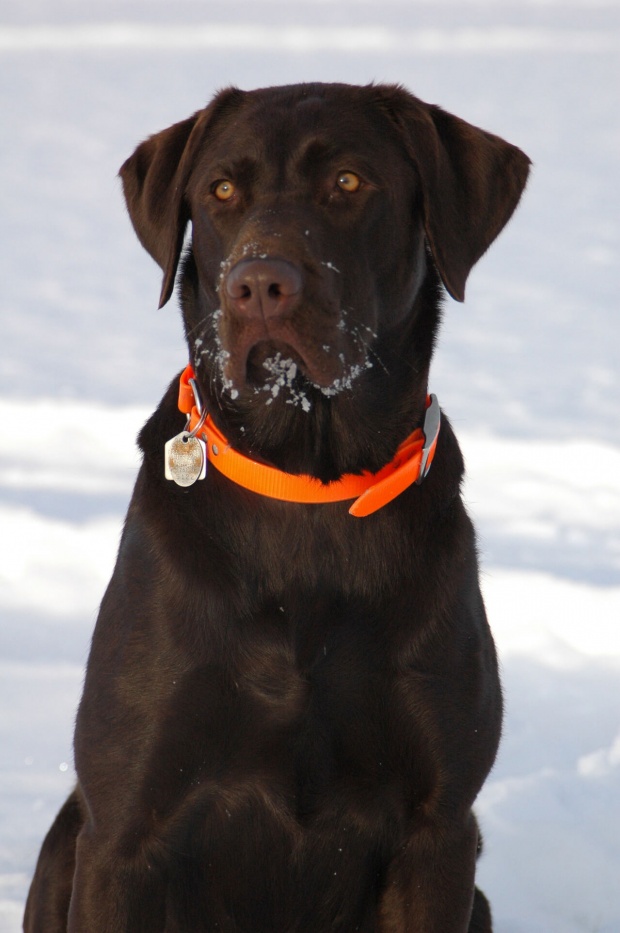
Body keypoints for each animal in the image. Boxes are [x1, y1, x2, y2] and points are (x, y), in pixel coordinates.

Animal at [23, 83, 528, 928]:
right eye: (222, 190)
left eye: (349, 182)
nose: (259, 285)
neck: (306, 485)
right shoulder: (124, 830)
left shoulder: (440, 830)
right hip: (67, 838)